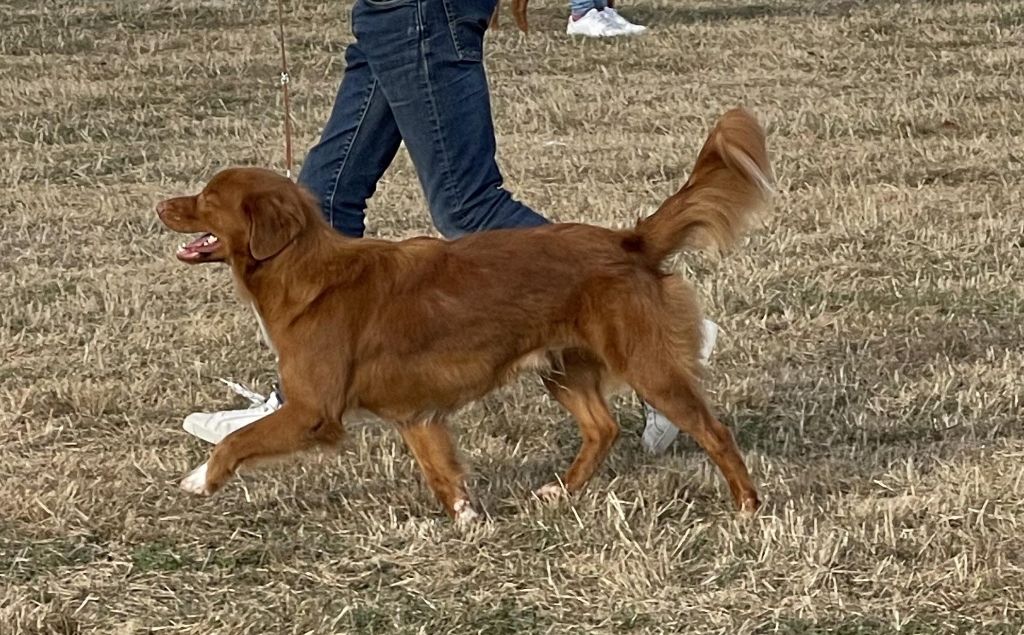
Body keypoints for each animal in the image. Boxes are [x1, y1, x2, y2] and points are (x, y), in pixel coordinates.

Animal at [157, 109, 770, 524]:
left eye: (207, 199)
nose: (161, 204)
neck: (303, 269)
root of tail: (630, 241)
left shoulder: (313, 410)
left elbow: (238, 442)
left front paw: (198, 480)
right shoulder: (416, 412)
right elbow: (441, 469)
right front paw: (468, 518)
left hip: (644, 363)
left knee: (712, 430)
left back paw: (746, 504)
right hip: (562, 366)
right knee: (603, 427)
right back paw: (562, 490)